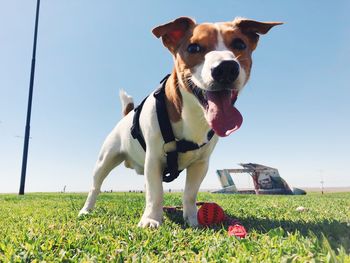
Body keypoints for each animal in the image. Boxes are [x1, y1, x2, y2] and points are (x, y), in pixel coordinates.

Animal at [79, 16, 282, 228]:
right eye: (193, 48)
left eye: (240, 44)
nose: (226, 68)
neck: (193, 115)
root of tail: (126, 116)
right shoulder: (154, 159)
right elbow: (156, 193)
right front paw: (151, 219)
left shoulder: (200, 164)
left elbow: (189, 194)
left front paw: (192, 220)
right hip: (105, 160)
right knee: (96, 186)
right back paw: (86, 210)